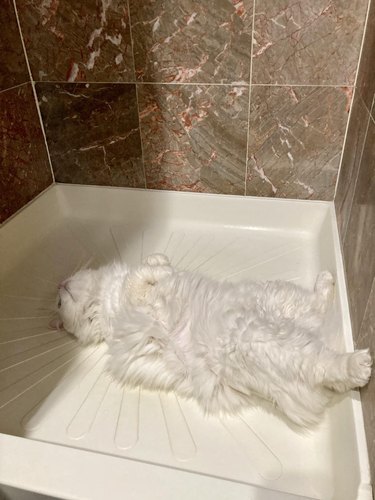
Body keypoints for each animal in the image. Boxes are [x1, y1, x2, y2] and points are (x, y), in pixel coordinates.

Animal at [56, 256, 374, 428]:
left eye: (60, 301)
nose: (58, 286)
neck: (103, 305)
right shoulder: (134, 295)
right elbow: (141, 275)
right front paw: (161, 271)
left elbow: (151, 264)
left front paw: (161, 264)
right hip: (259, 338)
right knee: (326, 365)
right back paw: (359, 364)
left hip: (278, 299)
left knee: (319, 305)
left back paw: (327, 280)